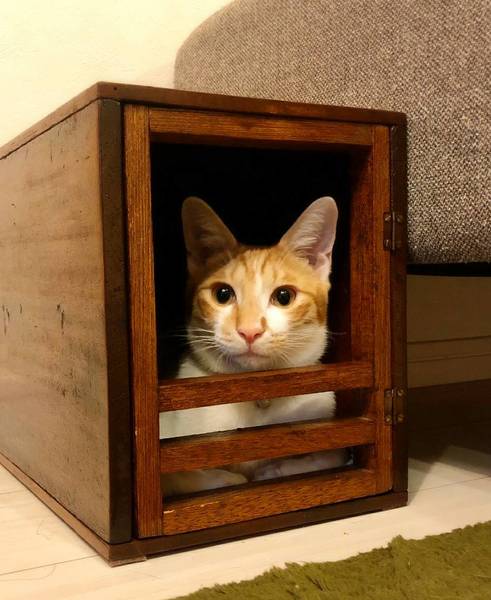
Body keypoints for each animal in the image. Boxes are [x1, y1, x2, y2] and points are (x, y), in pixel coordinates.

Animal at [161, 196, 347, 495]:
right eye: (223, 294)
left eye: (284, 296)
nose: (249, 331)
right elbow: (177, 474)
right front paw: (229, 479)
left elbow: (334, 455)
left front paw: (274, 470)